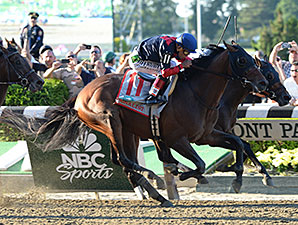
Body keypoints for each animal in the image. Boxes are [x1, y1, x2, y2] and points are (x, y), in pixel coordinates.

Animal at [0, 41, 268, 206]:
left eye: (252, 59)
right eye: (242, 60)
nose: (263, 83)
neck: (196, 93)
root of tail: (81, 93)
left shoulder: (206, 135)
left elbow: (237, 143)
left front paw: (238, 177)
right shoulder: (177, 139)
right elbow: (200, 164)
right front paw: (182, 172)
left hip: (128, 131)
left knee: (122, 161)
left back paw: (159, 195)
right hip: (110, 121)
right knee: (124, 160)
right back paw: (156, 178)